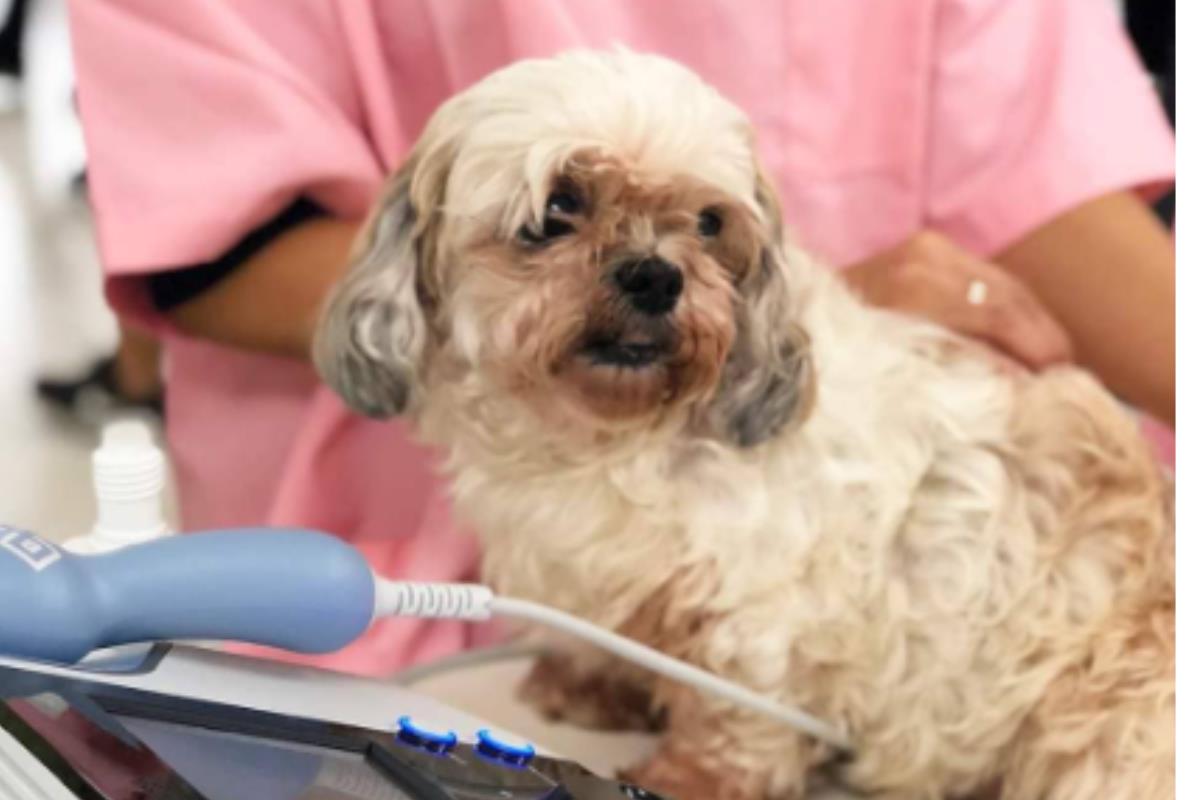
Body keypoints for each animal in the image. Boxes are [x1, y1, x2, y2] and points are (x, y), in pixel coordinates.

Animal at [314, 50, 1176, 800]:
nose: (655, 274)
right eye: (556, 209)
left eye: (708, 222)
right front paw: (588, 686)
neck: (605, 441)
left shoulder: (757, 611)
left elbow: (733, 715)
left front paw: (689, 777)